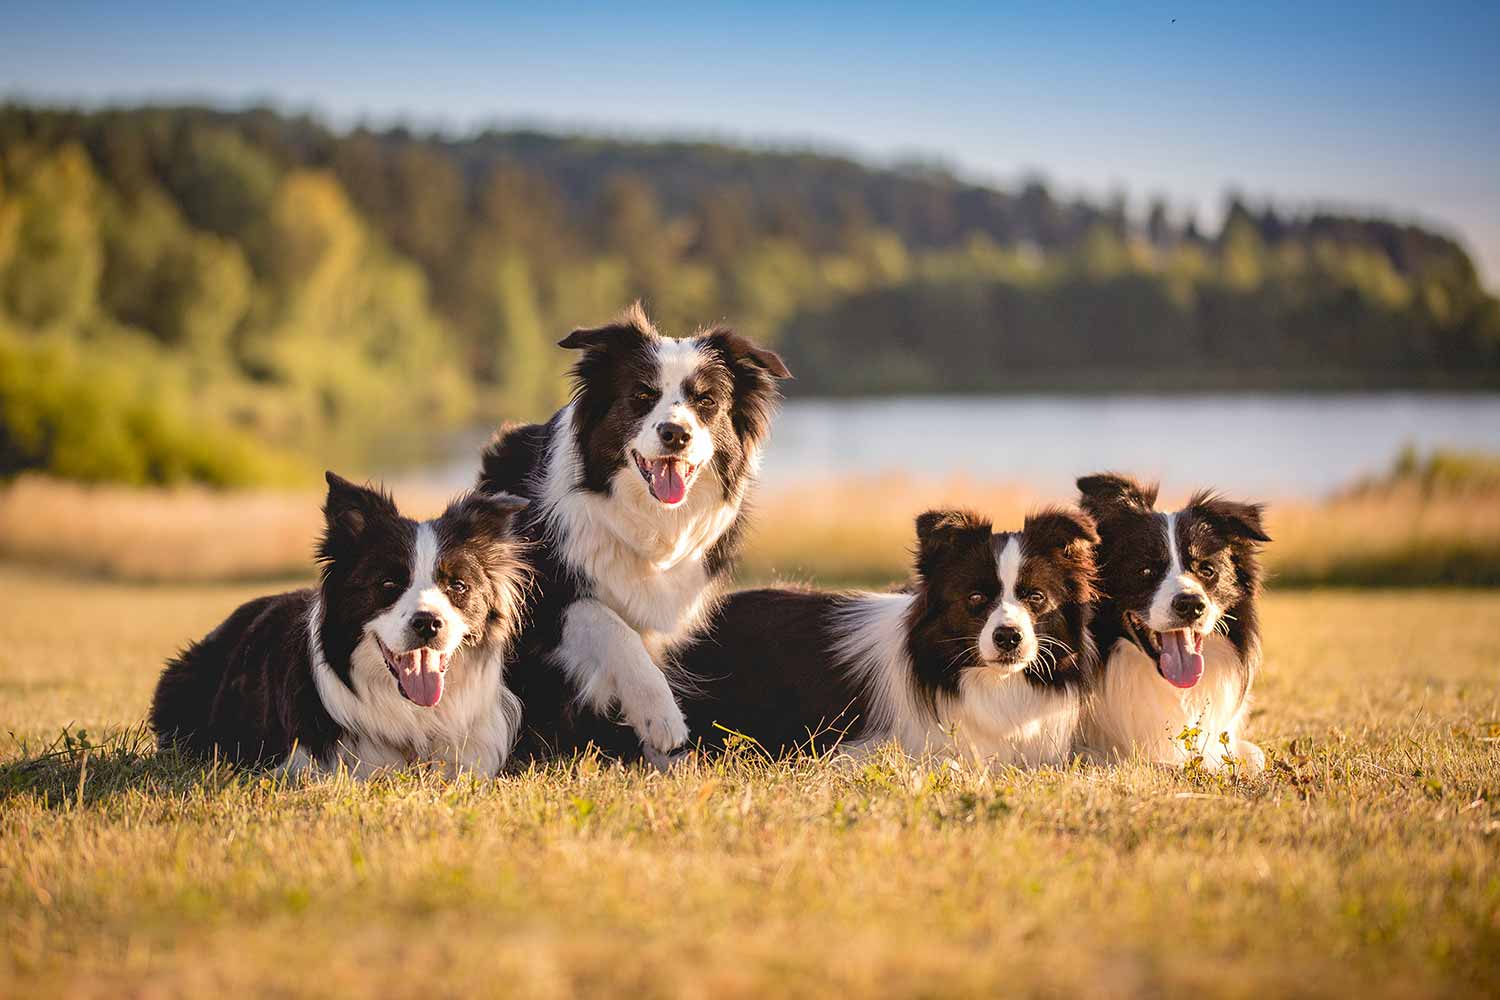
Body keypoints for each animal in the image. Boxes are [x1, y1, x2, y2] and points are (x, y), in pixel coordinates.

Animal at [480, 305, 792, 767]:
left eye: (706, 401)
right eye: (642, 395)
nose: (676, 434)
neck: (650, 521)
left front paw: (665, 758)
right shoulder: (544, 597)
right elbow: (614, 630)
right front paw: (660, 717)